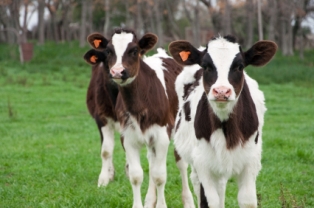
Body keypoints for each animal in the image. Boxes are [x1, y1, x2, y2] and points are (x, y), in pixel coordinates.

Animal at [84, 29, 195, 208]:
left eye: (134, 50)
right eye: (108, 51)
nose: (117, 71)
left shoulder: (162, 136)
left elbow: (160, 175)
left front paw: (161, 205)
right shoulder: (127, 136)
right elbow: (136, 175)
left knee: (181, 164)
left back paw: (188, 201)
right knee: (151, 162)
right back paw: (150, 200)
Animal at [169, 36, 278, 208]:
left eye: (239, 67)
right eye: (206, 66)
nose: (221, 91)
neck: (226, 127)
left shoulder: (250, 162)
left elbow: (247, 200)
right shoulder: (203, 162)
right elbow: (208, 201)